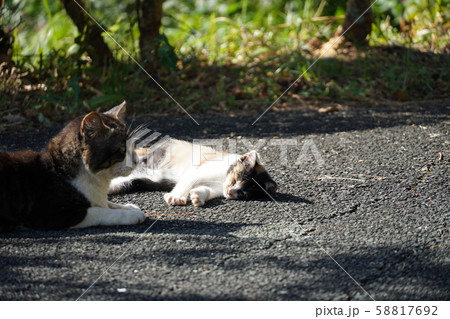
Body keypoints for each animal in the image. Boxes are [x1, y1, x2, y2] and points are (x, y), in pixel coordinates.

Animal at [0, 102, 144, 232]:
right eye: (122, 149)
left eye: (132, 146)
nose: (137, 161)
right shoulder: (52, 214)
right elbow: (99, 211)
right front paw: (131, 214)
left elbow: (107, 204)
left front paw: (128, 207)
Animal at [110, 139, 276, 206]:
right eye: (235, 180)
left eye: (243, 193)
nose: (230, 192)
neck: (222, 178)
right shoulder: (197, 171)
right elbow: (187, 181)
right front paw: (177, 197)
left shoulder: (218, 188)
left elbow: (208, 190)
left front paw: (198, 196)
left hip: (148, 178)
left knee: (128, 181)